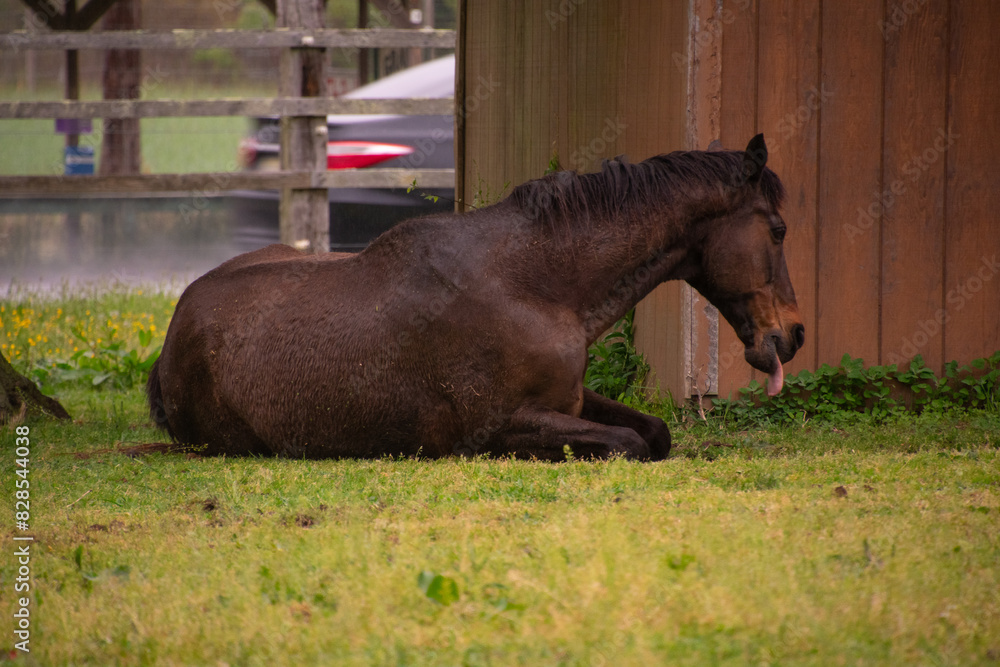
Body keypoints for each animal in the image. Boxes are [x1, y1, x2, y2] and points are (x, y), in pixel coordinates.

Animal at [147, 134, 804, 461]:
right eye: (777, 229)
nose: (793, 335)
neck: (530, 285)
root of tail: (176, 327)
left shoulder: (570, 398)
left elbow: (656, 432)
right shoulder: (496, 429)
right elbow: (631, 445)